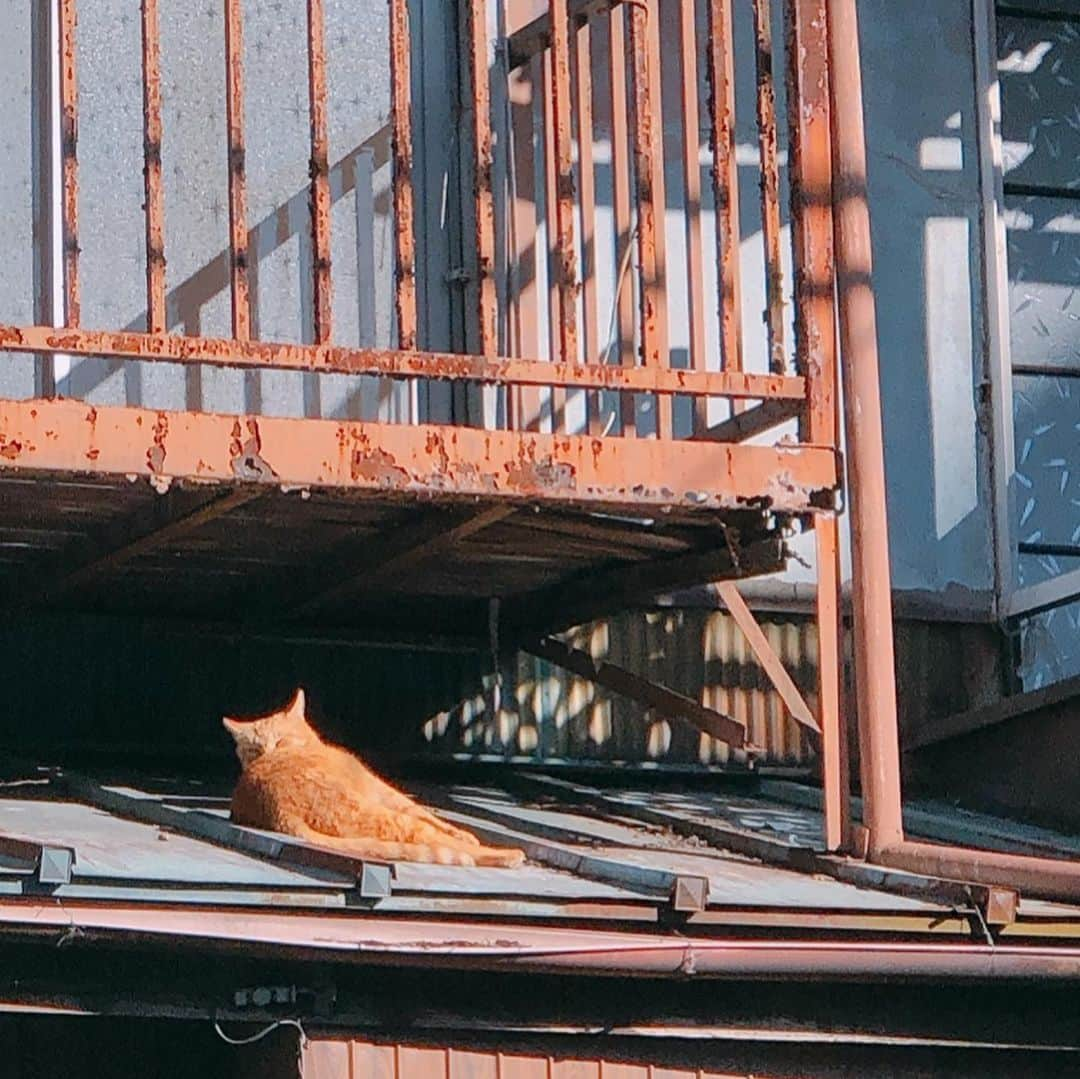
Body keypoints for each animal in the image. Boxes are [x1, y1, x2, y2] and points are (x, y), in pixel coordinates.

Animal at [221, 691, 524, 868]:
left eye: (281, 742)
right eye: (255, 750)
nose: (267, 756)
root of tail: (278, 813)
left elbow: (433, 816)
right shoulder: (386, 796)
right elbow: (429, 817)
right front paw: (466, 836)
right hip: (384, 818)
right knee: (438, 840)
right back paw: (506, 855)